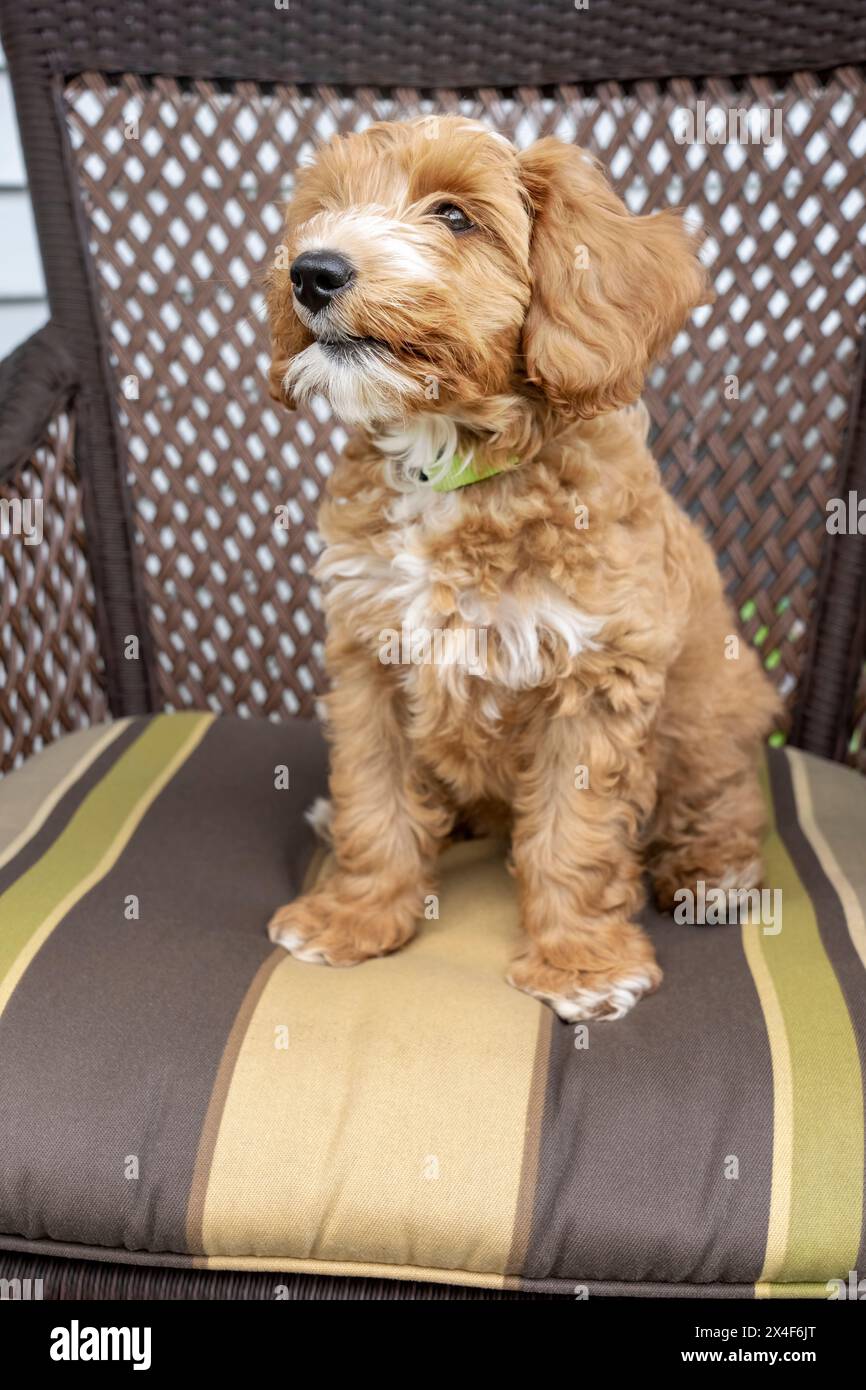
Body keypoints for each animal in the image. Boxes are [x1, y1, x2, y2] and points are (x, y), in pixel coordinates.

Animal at [264, 116, 778, 1023]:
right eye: (326, 209)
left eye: (454, 216)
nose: (312, 270)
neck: (451, 461)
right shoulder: (369, 659)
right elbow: (374, 796)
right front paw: (357, 914)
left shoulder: (597, 675)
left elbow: (575, 835)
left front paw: (579, 962)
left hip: (717, 708)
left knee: (722, 797)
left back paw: (713, 869)